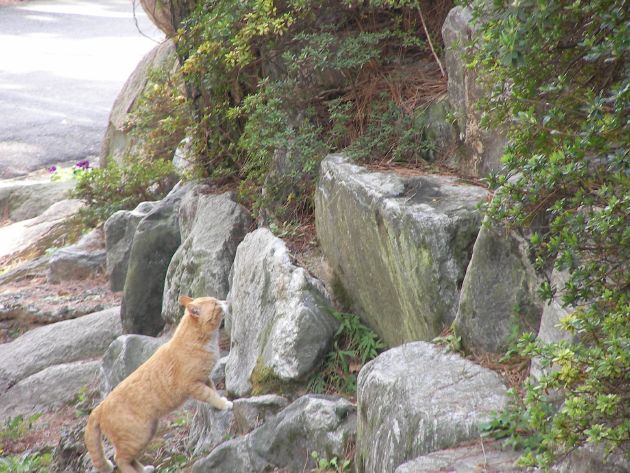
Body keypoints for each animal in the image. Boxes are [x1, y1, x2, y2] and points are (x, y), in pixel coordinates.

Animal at [84, 294, 232, 470]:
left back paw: (145, 470)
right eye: (216, 304)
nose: (226, 301)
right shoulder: (193, 384)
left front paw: (220, 401)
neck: (198, 339)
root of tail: (99, 407)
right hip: (137, 435)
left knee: (128, 458)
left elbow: (213, 390)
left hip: (147, 432)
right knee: (119, 459)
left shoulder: (205, 378)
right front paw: (224, 404)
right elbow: (210, 394)